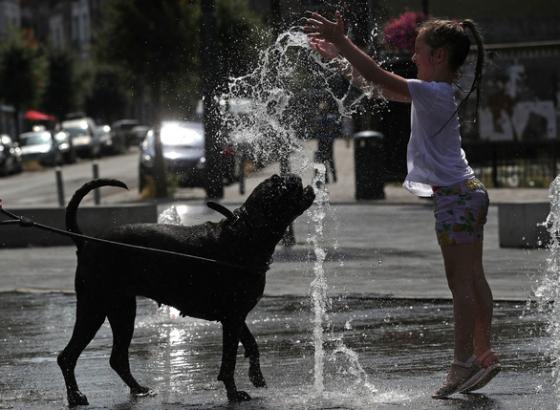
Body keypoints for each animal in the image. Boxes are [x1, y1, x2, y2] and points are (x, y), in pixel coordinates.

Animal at [59, 174, 318, 406]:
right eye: (277, 186)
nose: (291, 176)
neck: (244, 235)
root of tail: (85, 242)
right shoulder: (233, 319)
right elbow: (229, 362)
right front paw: (234, 394)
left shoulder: (236, 317)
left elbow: (252, 345)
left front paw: (256, 377)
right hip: (94, 309)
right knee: (67, 356)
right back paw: (75, 396)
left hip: (122, 311)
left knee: (118, 358)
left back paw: (139, 389)